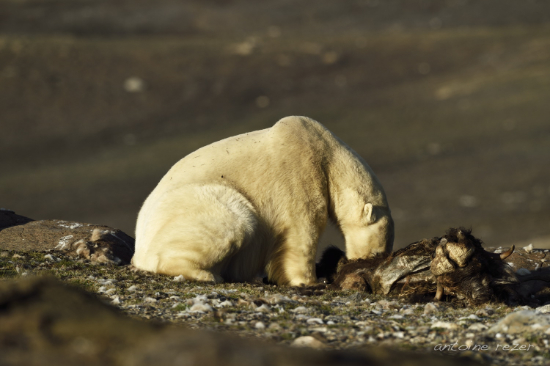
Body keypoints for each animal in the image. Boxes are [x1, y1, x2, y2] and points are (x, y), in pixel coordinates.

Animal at [132, 116, 394, 286]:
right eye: (376, 253)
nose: (362, 261)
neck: (327, 153)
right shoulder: (300, 173)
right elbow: (302, 229)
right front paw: (311, 280)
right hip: (200, 203)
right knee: (235, 221)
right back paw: (206, 274)